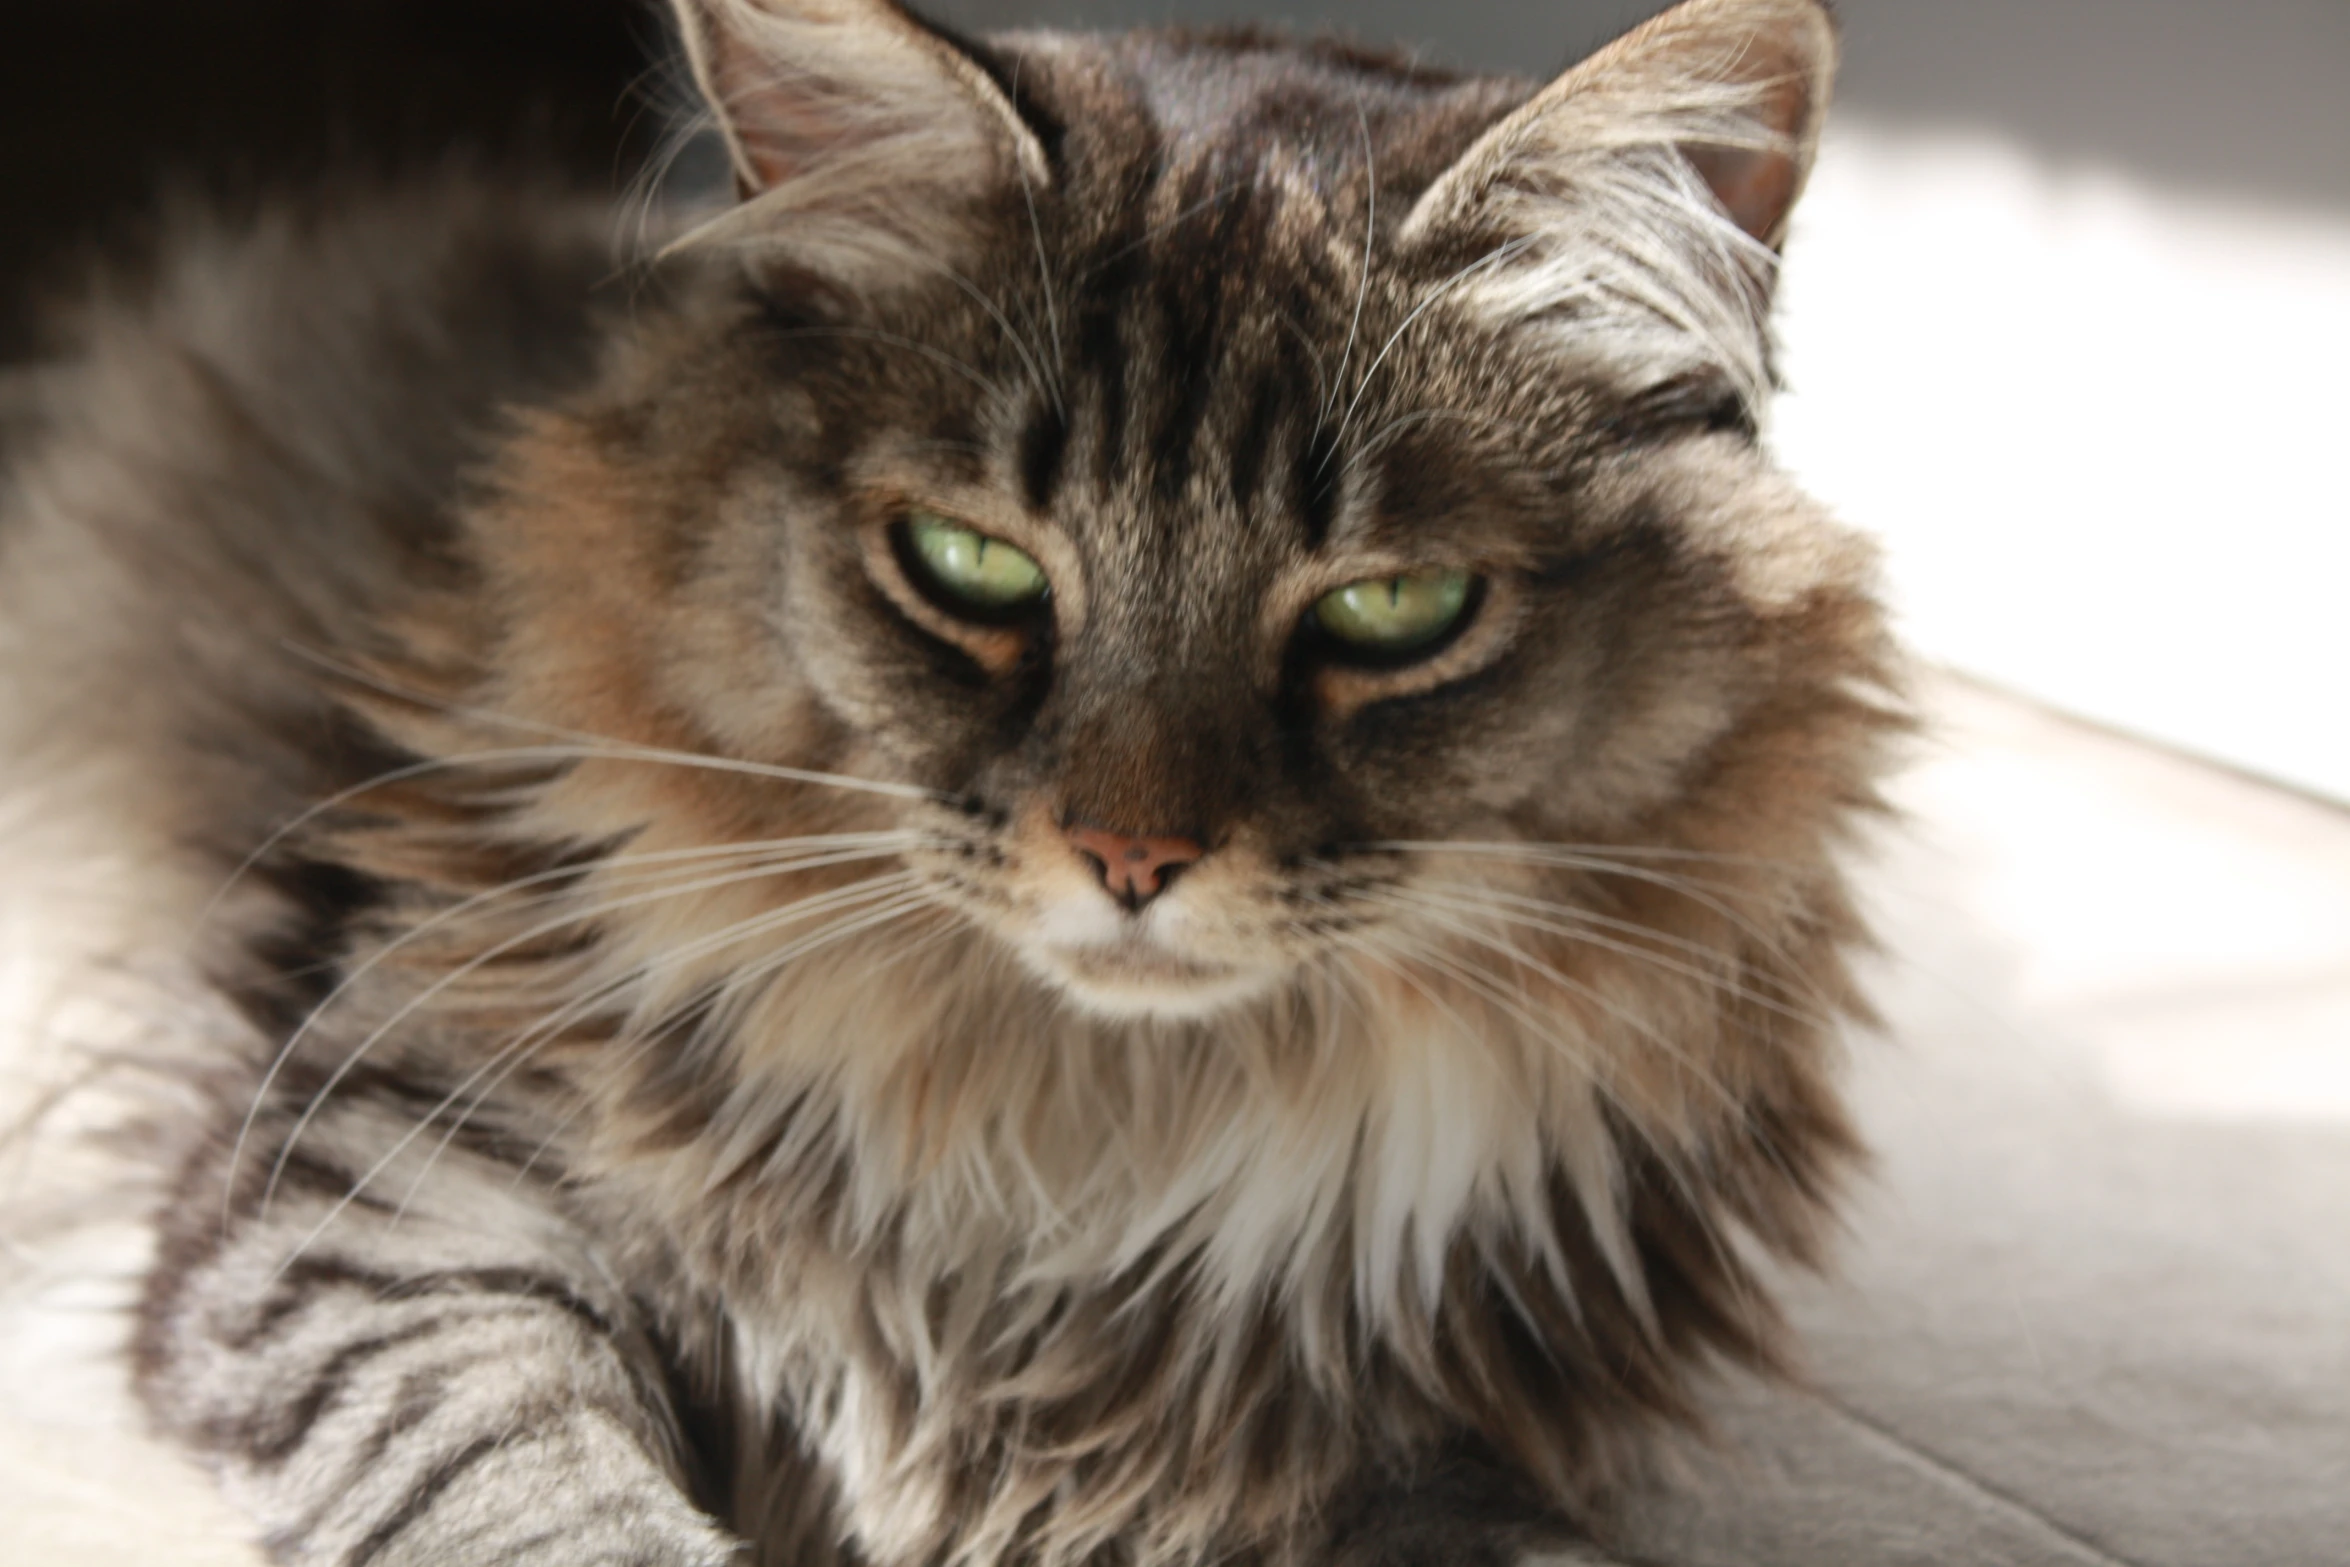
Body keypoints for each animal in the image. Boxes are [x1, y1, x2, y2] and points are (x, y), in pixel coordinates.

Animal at [0, 3, 1898, 1567]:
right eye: (970, 563)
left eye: (1391, 608)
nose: (1130, 853)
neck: (1069, 1151)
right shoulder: (387, 1198)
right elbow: (536, 1486)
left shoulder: (1384, 1434)